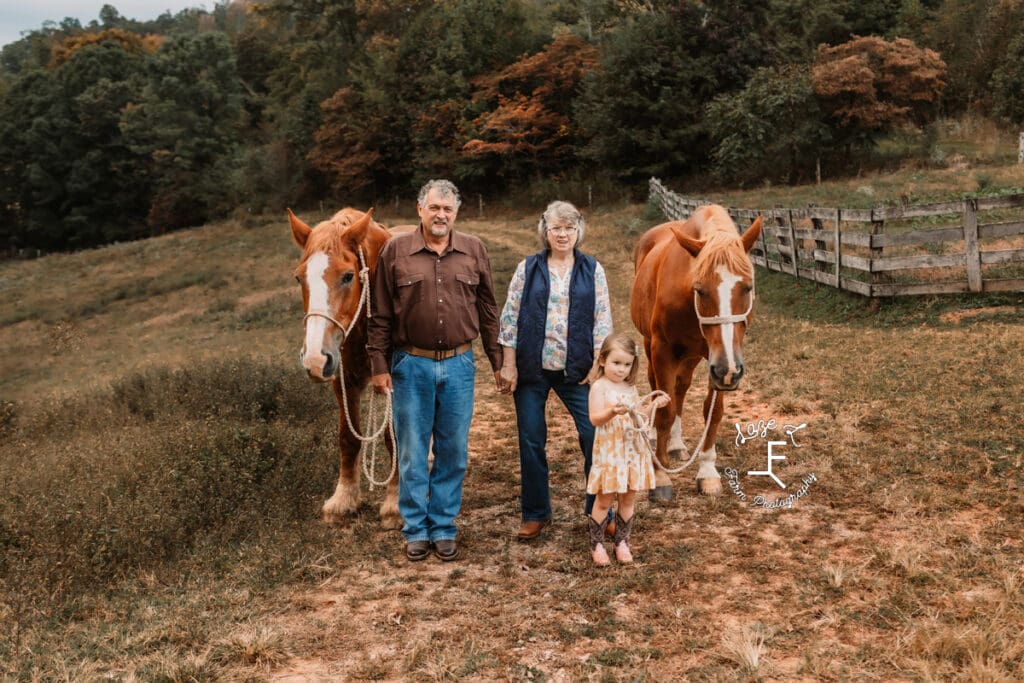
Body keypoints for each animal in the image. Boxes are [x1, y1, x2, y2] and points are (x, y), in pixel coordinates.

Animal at [288, 208, 407, 528]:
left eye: (348, 276)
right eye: (299, 278)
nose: (314, 359)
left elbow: (394, 437)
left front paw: (395, 503)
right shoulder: (343, 380)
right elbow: (348, 437)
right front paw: (343, 499)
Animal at [626, 205, 765, 499]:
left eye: (747, 287)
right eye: (700, 290)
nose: (729, 371)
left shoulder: (720, 361)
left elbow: (713, 413)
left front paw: (707, 473)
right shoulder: (663, 350)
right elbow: (665, 410)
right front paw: (661, 476)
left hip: (691, 357)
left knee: (680, 389)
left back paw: (676, 445)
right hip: (652, 345)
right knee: (657, 387)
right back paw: (654, 437)